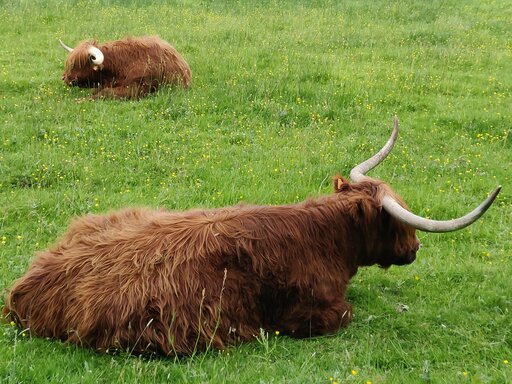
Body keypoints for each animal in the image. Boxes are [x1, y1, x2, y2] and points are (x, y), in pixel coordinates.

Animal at [2, 118, 502, 356]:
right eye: (397, 223)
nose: (414, 249)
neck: (323, 237)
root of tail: (26, 287)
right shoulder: (312, 312)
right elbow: (346, 313)